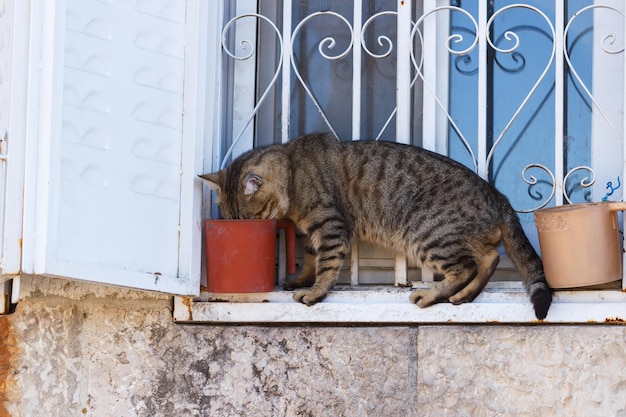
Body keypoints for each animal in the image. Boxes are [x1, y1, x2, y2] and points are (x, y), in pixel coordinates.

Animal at [200, 133, 552, 318]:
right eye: (233, 221)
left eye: (251, 219)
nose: (245, 231)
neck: (294, 169)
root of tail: (499, 197)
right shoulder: (315, 231)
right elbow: (311, 258)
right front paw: (300, 280)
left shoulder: (330, 224)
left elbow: (326, 264)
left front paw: (314, 293)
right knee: (488, 258)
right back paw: (462, 297)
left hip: (425, 233)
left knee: (466, 266)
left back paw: (430, 295)